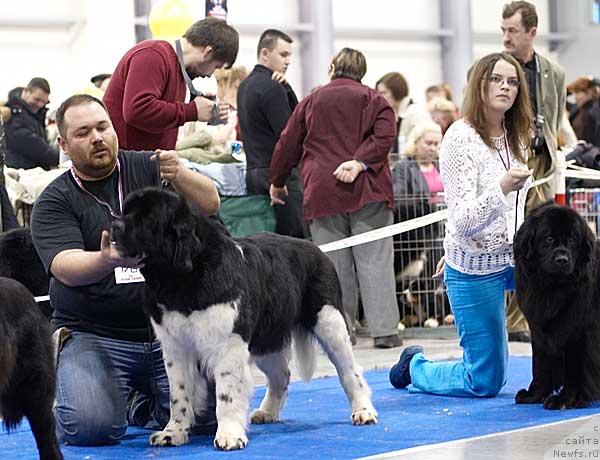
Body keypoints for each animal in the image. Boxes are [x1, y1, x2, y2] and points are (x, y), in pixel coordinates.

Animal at [110, 187, 378, 450]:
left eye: (147, 218)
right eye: (126, 211)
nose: (114, 226)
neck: (182, 277)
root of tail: (316, 248)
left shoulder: (228, 344)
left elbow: (227, 393)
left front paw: (229, 435)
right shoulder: (176, 347)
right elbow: (179, 394)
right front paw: (173, 433)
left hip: (329, 322)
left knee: (349, 371)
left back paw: (363, 411)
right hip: (266, 338)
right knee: (281, 375)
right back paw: (267, 412)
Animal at [510, 203, 600, 408]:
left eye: (573, 240)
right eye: (548, 238)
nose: (562, 260)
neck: (553, 288)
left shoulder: (579, 332)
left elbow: (575, 369)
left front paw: (566, 399)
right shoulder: (539, 330)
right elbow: (540, 365)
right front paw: (534, 394)